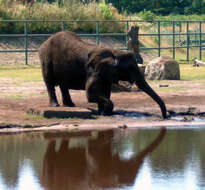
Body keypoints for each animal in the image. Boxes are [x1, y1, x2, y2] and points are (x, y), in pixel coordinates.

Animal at [38, 30, 167, 118]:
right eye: (130, 68)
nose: (165, 116)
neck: (115, 53)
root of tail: (45, 41)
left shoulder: (107, 74)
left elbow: (105, 92)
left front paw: (103, 113)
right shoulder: (93, 70)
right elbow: (91, 94)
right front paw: (105, 112)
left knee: (63, 85)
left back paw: (70, 105)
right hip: (46, 59)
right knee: (49, 82)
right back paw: (55, 105)